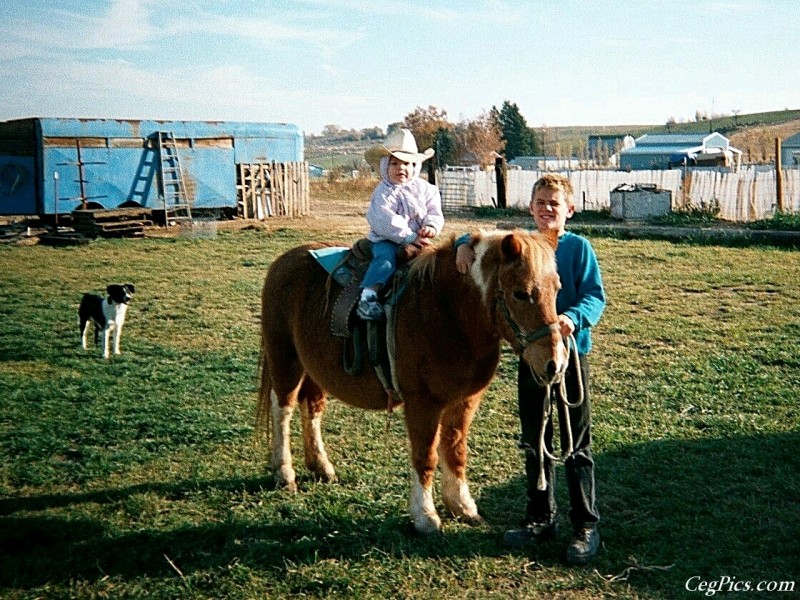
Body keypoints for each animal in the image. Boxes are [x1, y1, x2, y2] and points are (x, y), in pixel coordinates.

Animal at [256, 231, 568, 536]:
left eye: (557, 289)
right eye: (521, 293)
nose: (554, 363)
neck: (448, 312)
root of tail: (283, 261)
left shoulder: (464, 402)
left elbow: (456, 451)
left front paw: (462, 506)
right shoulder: (422, 404)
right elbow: (426, 456)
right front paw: (425, 516)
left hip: (314, 369)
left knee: (312, 408)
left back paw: (321, 467)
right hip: (285, 359)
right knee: (282, 408)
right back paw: (284, 473)